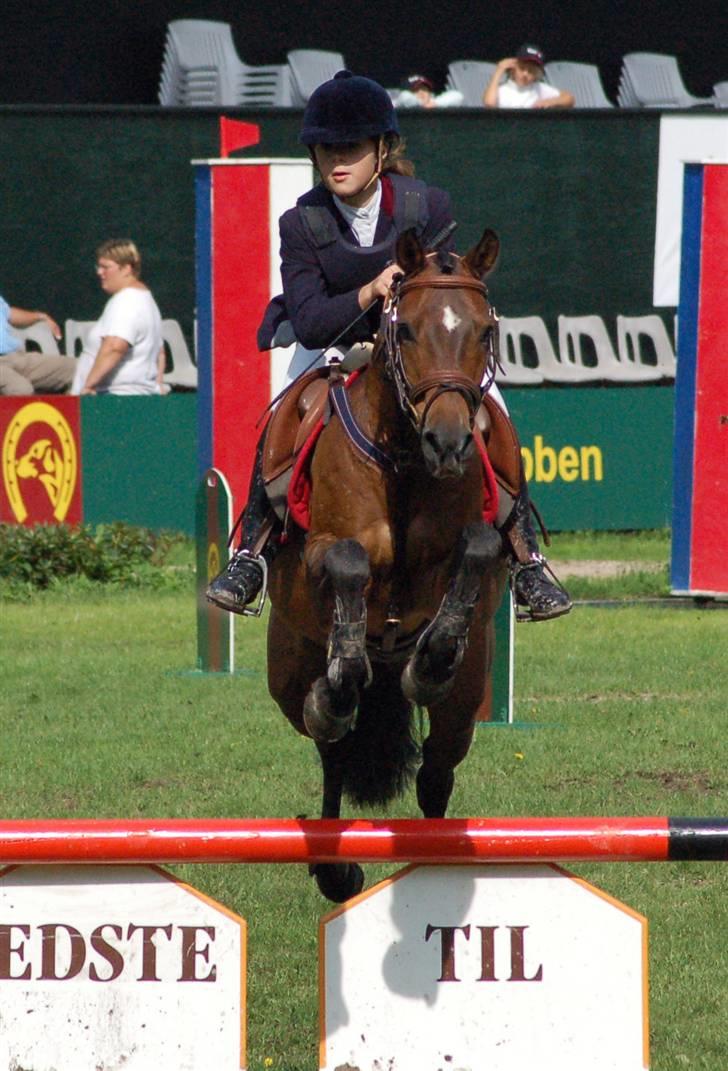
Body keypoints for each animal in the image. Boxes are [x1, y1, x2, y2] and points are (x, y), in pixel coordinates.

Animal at [264, 228, 509, 903]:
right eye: (407, 331)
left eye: (485, 330)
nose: (448, 444)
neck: (402, 459)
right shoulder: (319, 553)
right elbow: (348, 562)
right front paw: (345, 668)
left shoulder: (468, 551)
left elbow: (478, 548)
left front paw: (429, 661)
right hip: (287, 673)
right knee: (332, 746)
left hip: (466, 700)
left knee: (436, 776)